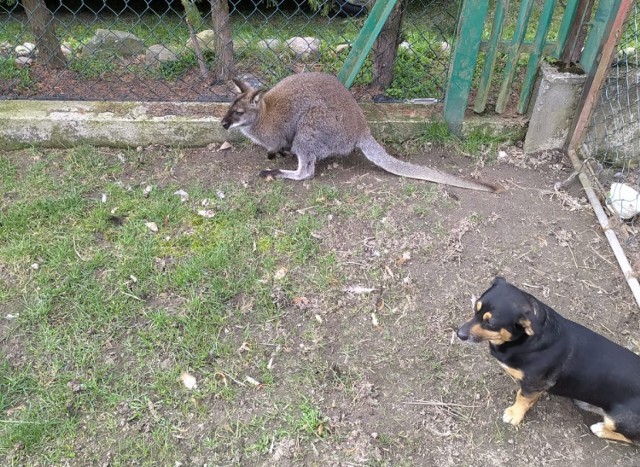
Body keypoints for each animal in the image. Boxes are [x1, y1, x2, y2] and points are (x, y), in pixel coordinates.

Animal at [458, 278, 636, 446]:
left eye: (491, 323)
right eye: (475, 308)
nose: (459, 334)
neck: (524, 341)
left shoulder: (533, 383)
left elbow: (522, 398)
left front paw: (515, 414)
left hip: (617, 420)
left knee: (632, 440)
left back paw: (600, 429)